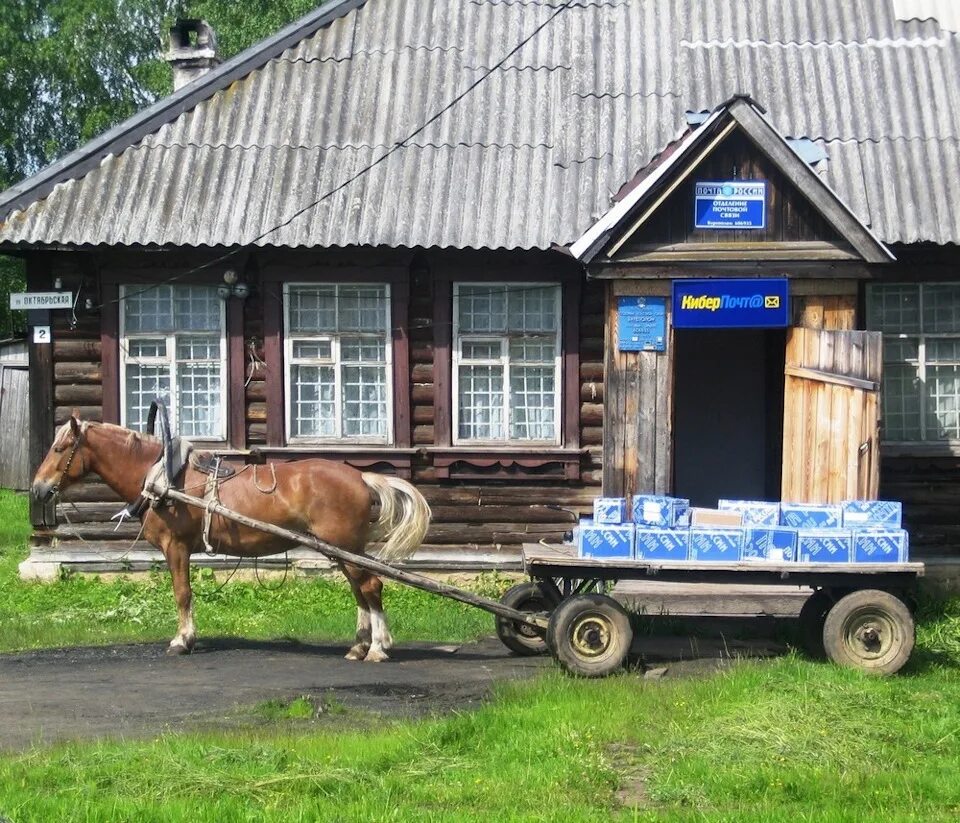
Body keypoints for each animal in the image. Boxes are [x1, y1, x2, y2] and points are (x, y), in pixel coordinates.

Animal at [31, 416, 432, 660]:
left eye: (59, 448)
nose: (38, 489)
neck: (166, 480)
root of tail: (360, 476)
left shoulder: (176, 547)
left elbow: (182, 593)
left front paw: (182, 640)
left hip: (346, 548)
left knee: (372, 587)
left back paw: (378, 648)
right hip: (343, 550)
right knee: (361, 591)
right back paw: (359, 646)